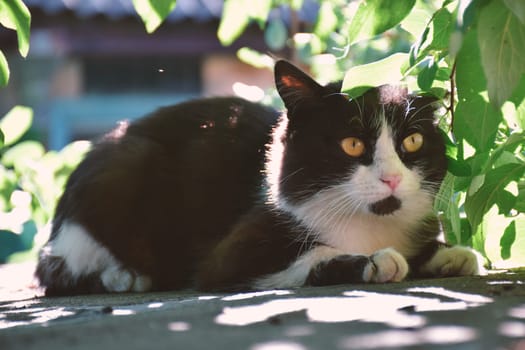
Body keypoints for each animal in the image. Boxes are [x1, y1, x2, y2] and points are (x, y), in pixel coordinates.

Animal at [35, 60, 478, 296]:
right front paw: (372, 260)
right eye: (352, 144)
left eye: (413, 140)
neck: (369, 223)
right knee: (62, 270)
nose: (391, 179)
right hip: (123, 168)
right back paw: (124, 276)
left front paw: (447, 254)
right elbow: (300, 257)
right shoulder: (230, 253)